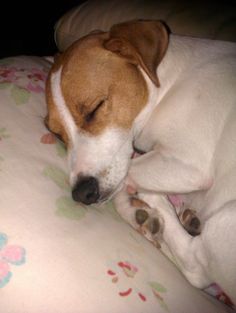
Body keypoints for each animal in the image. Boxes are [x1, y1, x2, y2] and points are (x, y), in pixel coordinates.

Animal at [44, 20, 236, 302]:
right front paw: (135, 212)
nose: (82, 194)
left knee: (195, 268)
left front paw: (142, 202)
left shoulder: (187, 163)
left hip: (227, 219)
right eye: (57, 135)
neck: (167, 87)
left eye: (95, 108)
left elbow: (129, 174)